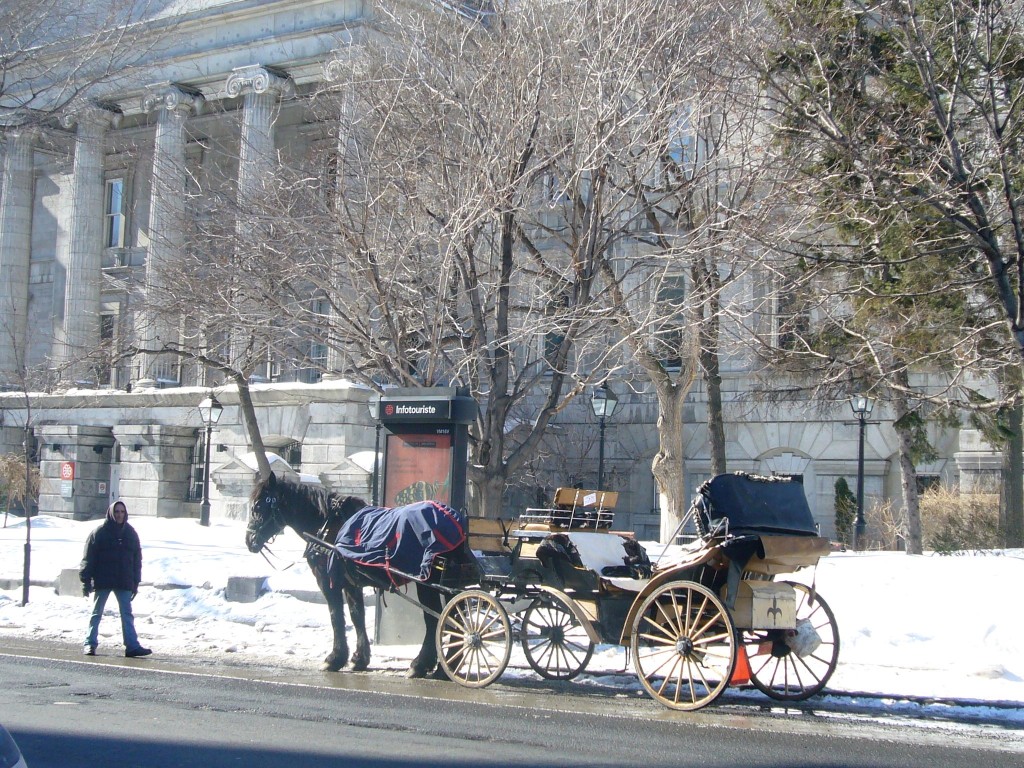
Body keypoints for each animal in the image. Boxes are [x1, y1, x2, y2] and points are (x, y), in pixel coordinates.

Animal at [241, 475, 454, 679]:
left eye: (258, 506)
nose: (249, 541)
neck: (327, 524)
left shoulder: (327, 581)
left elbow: (336, 616)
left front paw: (335, 658)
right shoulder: (351, 583)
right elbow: (356, 615)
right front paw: (359, 658)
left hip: (427, 584)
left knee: (436, 619)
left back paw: (423, 665)